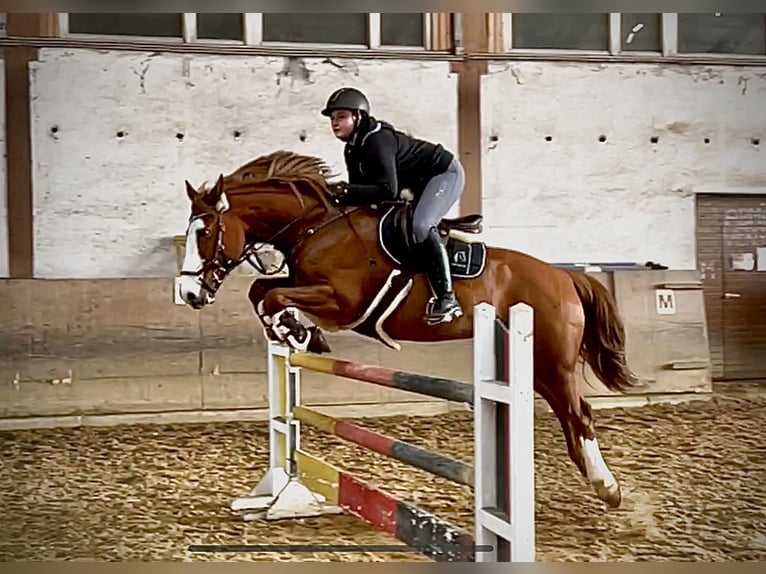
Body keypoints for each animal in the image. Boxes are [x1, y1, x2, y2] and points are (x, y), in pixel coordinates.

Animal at [177, 151, 640, 510]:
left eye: (205, 232)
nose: (188, 293)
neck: (314, 224)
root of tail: (566, 278)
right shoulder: (305, 284)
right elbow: (261, 290)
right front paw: (296, 333)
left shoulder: (342, 301)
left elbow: (273, 297)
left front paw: (299, 332)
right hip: (539, 367)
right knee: (571, 416)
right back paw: (597, 482)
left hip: (551, 361)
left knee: (578, 414)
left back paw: (607, 487)